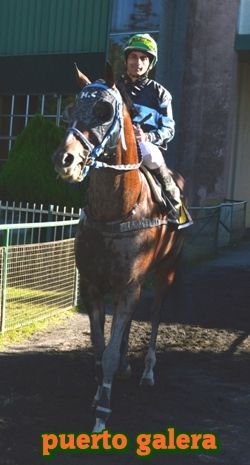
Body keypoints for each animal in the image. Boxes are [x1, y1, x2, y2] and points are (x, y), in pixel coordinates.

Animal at [52, 65, 185, 432]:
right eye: (70, 110)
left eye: (103, 110)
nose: (64, 159)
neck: (115, 212)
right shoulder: (94, 284)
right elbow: (101, 346)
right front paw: (100, 392)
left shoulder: (129, 285)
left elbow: (109, 352)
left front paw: (102, 413)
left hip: (166, 272)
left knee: (155, 317)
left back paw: (148, 371)